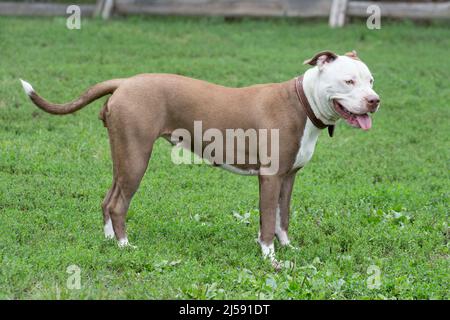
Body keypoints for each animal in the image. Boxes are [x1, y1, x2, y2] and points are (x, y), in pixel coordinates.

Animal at [20, 50, 380, 268]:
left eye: (371, 80)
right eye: (349, 80)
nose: (374, 100)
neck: (302, 102)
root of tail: (125, 82)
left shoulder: (289, 177)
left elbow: (283, 218)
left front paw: (288, 248)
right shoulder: (271, 177)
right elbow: (267, 222)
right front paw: (270, 259)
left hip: (122, 157)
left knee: (108, 199)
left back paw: (110, 241)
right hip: (136, 157)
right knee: (119, 204)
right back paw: (124, 246)